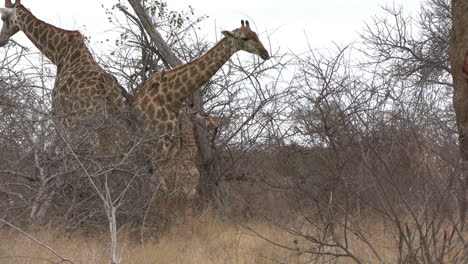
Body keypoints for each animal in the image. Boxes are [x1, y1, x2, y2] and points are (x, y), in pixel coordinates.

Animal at [132, 19, 270, 188]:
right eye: (245, 38)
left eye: (256, 35)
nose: (265, 53)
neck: (171, 96)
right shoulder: (158, 146)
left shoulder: (170, 147)